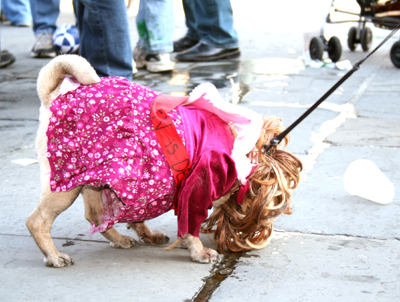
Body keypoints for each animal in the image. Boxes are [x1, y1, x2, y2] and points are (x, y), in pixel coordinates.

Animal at [26, 54, 302, 266]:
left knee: (96, 215)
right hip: (64, 187)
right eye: (278, 200)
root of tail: (52, 99)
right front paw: (199, 252)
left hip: (95, 180)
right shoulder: (196, 190)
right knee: (37, 222)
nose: (288, 208)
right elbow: (190, 227)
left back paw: (125, 239)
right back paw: (54, 257)